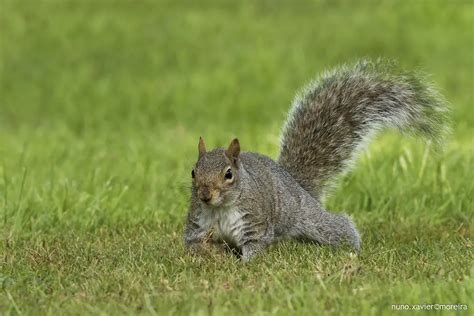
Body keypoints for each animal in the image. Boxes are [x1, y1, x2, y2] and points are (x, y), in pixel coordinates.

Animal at [182, 59, 448, 262]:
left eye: (228, 174)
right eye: (193, 172)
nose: (205, 195)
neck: (220, 209)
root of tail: (296, 183)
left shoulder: (254, 222)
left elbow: (255, 246)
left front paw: (245, 266)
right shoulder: (198, 223)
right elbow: (193, 242)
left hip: (309, 217)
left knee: (336, 227)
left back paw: (351, 248)